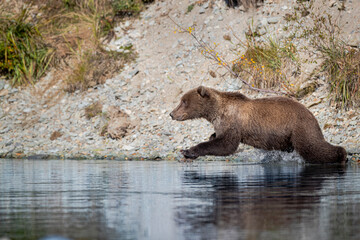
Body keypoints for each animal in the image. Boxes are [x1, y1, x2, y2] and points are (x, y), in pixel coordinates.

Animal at [170, 85, 348, 164]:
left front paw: (188, 150)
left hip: (299, 126)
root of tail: (310, 113)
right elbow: (218, 138)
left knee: (312, 147)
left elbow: (226, 145)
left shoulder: (233, 123)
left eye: (184, 101)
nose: (172, 114)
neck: (216, 112)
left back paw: (341, 154)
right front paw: (209, 136)